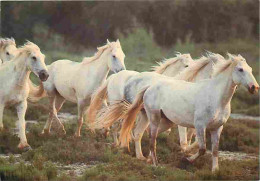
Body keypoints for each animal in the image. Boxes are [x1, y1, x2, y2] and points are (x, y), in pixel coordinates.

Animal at [119, 53, 258, 171]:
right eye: (240, 69)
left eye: (251, 69)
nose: (254, 88)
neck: (215, 97)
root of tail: (149, 87)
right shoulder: (199, 125)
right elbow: (201, 148)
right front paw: (187, 159)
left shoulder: (217, 127)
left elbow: (215, 150)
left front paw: (215, 170)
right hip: (154, 117)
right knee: (151, 138)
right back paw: (155, 163)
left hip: (165, 121)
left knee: (143, 133)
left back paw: (145, 158)